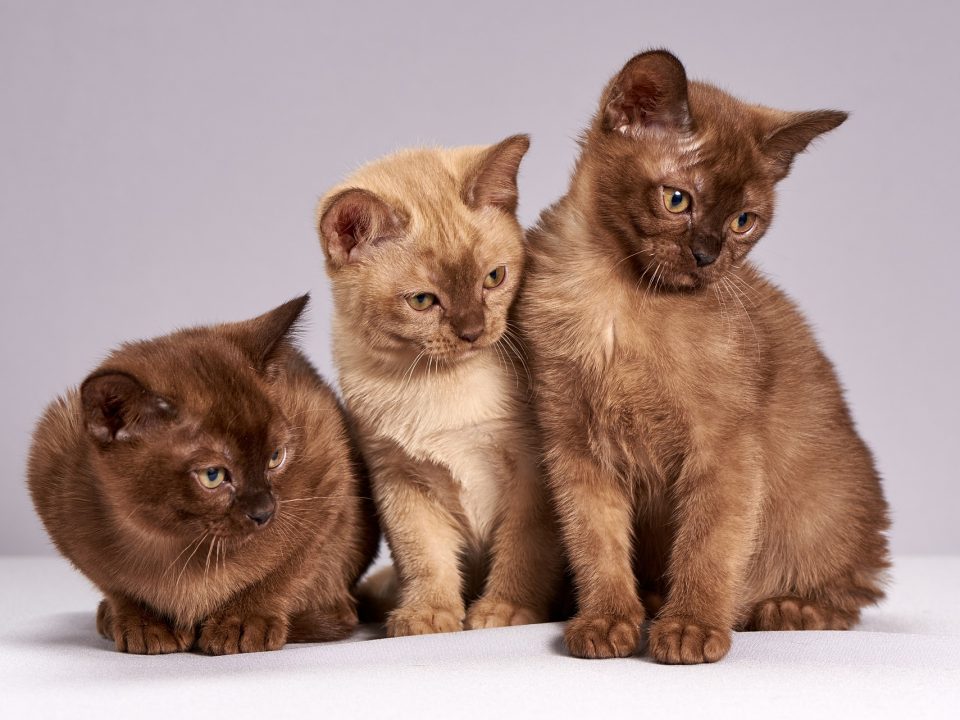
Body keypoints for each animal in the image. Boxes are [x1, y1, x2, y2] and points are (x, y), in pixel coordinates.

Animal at [27, 296, 378, 656]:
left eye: (275, 458)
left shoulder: (328, 484)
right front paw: (146, 624)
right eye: (213, 475)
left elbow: (283, 573)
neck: (174, 547)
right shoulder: (51, 481)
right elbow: (118, 587)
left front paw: (242, 622)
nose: (264, 513)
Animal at [516, 50, 892, 664]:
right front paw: (607, 622)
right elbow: (595, 544)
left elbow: (706, 548)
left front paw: (690, 629)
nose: (707, 255)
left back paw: (784, 610)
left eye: (744, 221)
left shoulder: (723, 451)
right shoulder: (575, 449)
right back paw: (649, 601)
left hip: (829, 504)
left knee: (850, 592)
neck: (621, 303)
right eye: (677, 200)